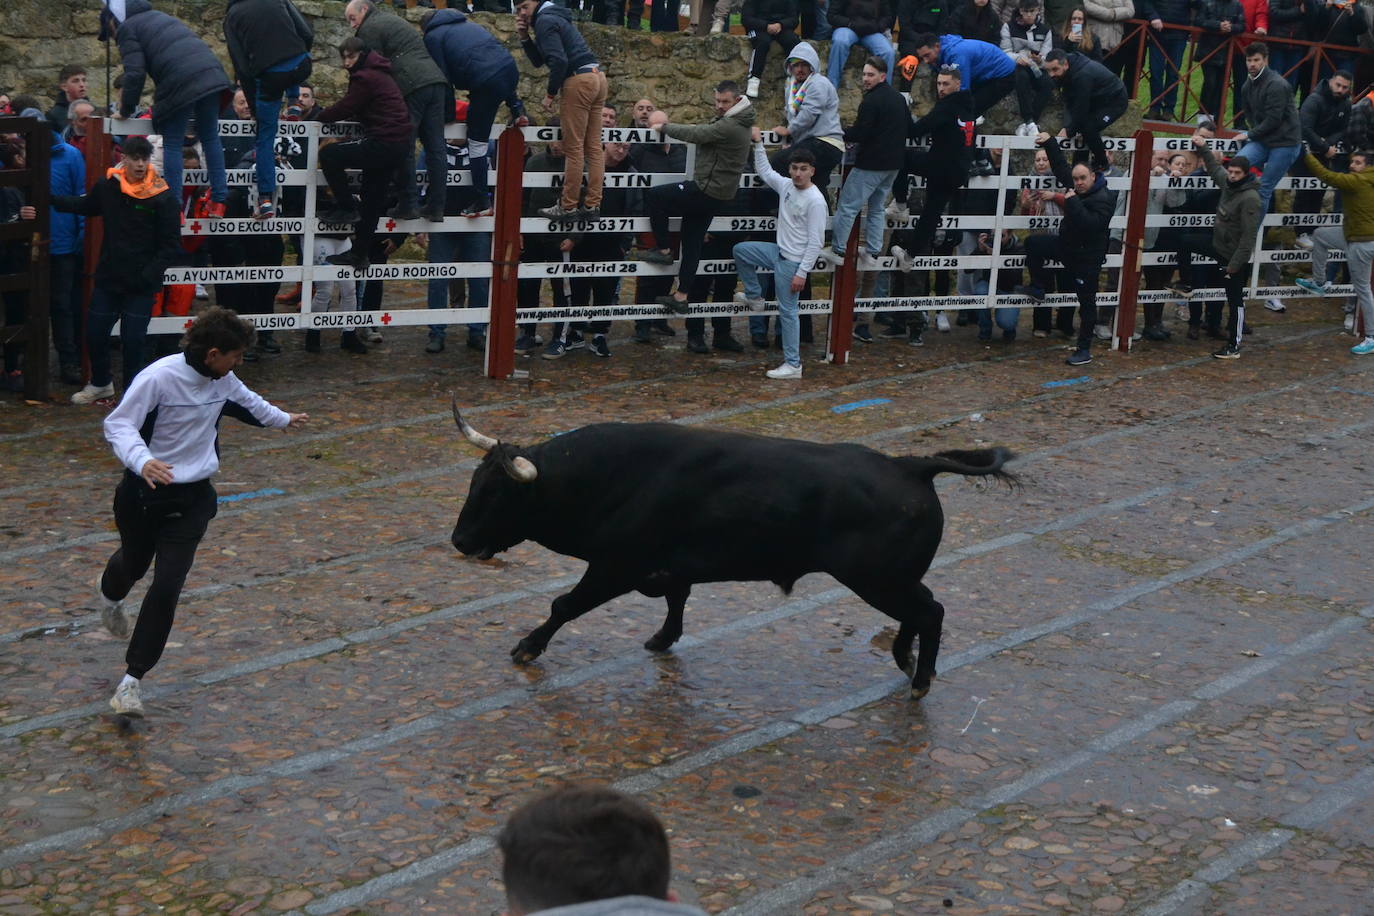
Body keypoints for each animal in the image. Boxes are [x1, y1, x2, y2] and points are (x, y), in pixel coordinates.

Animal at [445, 403, 1016, 697]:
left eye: (497, 494)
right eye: (473, 482)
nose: (459, 541)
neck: (609, 477)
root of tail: (911, 465)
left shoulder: (614, 567)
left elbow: (564, 604)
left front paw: (527, 646)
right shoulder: (668, 568)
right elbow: (676, 601)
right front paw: (662, 639)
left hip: (880, 579)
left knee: (930, 612)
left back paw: (918, 679)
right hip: (893, 578)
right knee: (919, 612)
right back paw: (906, 659)